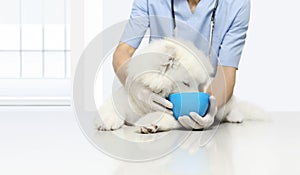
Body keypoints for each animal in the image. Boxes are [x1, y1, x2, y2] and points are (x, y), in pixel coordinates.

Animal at [95, 38, 264, 133]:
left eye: (200, 85)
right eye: (185, 83)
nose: (199, 101)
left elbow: (166, 117)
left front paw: (151, 124)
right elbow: (110, 109)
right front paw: (105, 122)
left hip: (226, 103)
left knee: (232, 108)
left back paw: (236, 117)